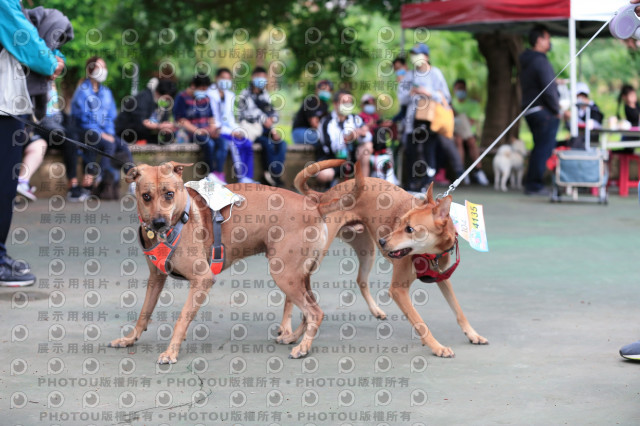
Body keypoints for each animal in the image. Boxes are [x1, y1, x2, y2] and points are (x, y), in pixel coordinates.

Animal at [110, 160, 372, 362]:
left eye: (169, 194)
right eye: (146, 196)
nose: (158, 223)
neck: (179, 218)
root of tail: (315, 206)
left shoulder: (202, 279)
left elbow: (182, 319)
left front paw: (171, 352)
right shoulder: (156, 278)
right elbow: (144, 312)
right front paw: (130, 338)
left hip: (285, 275)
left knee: (315, 312)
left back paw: (303, 348)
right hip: (300, 275)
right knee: (310, 311)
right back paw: (293, 338)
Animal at [282, 165, 488, 358]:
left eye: (410, 229)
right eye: (400, 223)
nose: (382, 241)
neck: (430, 254)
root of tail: (327, 194)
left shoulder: (443, 279)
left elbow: (458, 311)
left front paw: (473, 334)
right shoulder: (398, 290)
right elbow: (420, 322)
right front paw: (437, 347)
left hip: (367, 251)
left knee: (360, 280)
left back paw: (374, 310)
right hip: (315, 256)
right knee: (295, 293)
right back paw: (289, 332)